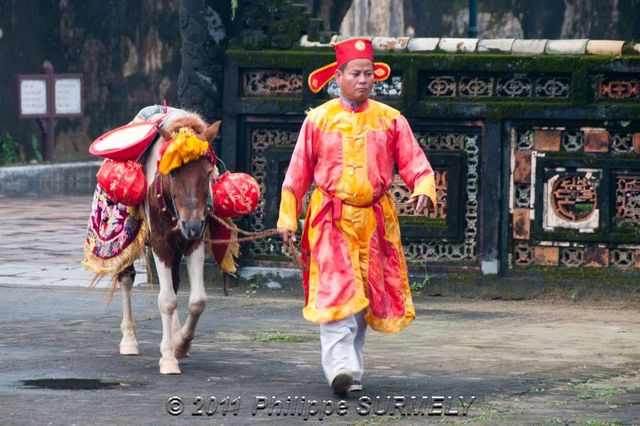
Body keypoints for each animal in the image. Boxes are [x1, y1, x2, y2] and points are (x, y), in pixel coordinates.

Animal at [116, 109, 221, 372]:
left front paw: (181, 344)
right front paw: (168, 359)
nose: (191, 225)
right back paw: (129, 340)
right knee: (126, 279)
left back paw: (174, 336)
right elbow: (166, 301)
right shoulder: (160, 242)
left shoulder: (195, 242)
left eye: (207, 173)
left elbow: (197, 300)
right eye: (173, 172)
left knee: (173, 284)